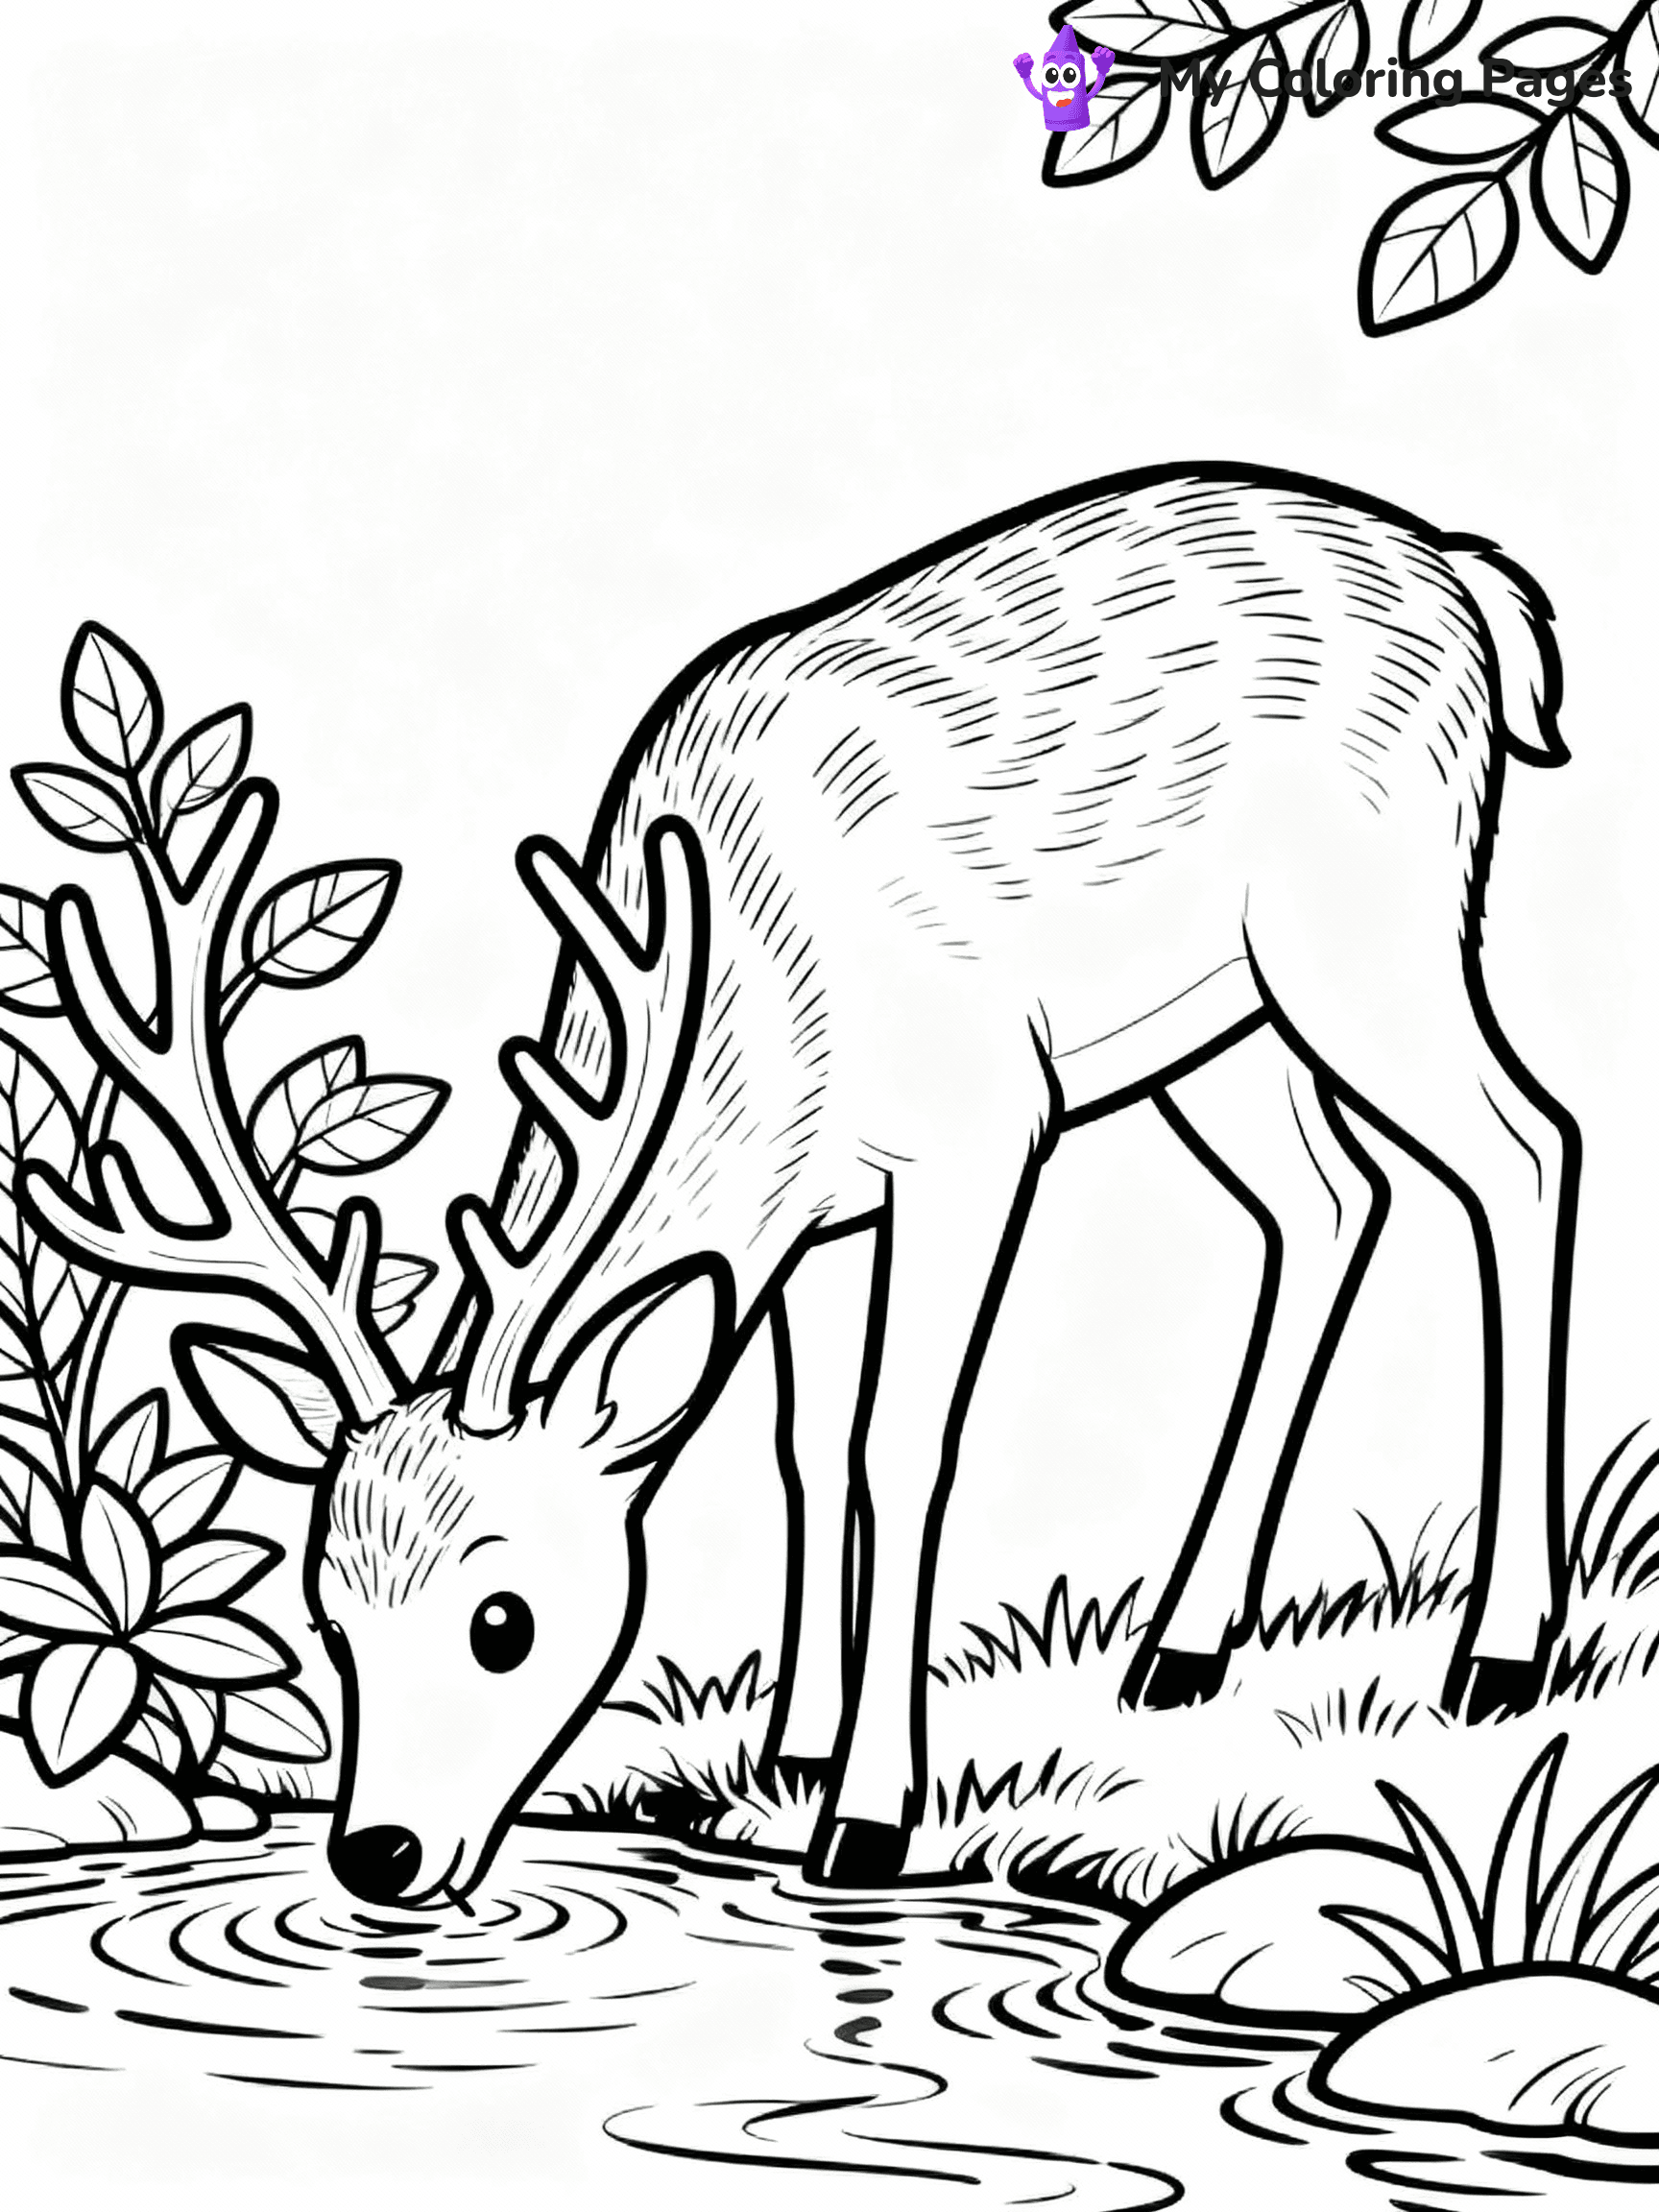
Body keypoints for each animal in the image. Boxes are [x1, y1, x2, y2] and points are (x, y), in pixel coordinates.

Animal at [23, 463, 1579, 1908]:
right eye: (329, 1614)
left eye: (503, 1619)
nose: (379, 1855)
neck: (752, 1000)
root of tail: (1474, 584)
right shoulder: (817, 1224)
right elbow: (803, 1452)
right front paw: (792, 1755)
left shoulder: (981, 1126)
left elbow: (904, 1450)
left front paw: (868, 1818)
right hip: (1219, 1020)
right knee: (1331, 1201)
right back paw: (1183, 1647)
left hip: (1372, 922)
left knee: (1527, 1146)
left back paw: (1499, 1654)